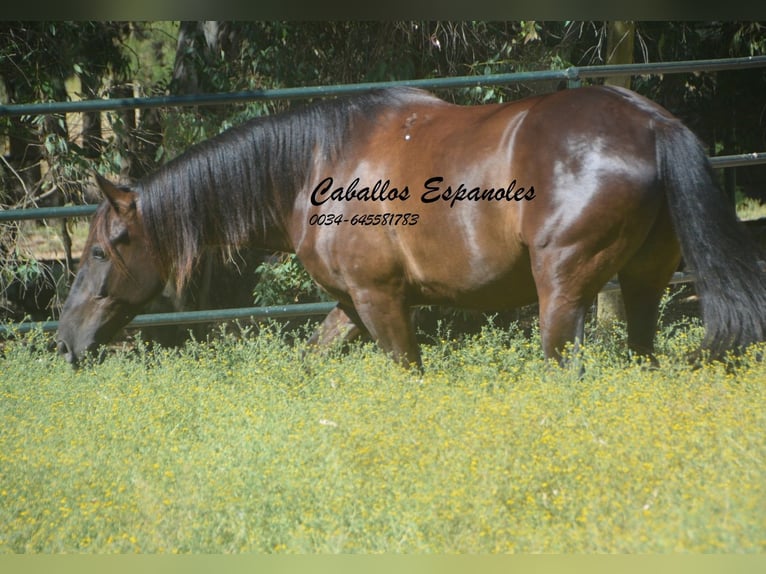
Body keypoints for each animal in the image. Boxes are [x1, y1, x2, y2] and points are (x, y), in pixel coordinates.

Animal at [56, 86, 766, 369]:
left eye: (100, 252)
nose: (64, 340)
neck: (318, 166)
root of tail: (652, 124)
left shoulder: (383, 301)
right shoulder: (351, 304)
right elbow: (314, 361)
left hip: (563, 291)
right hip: (643, 282)